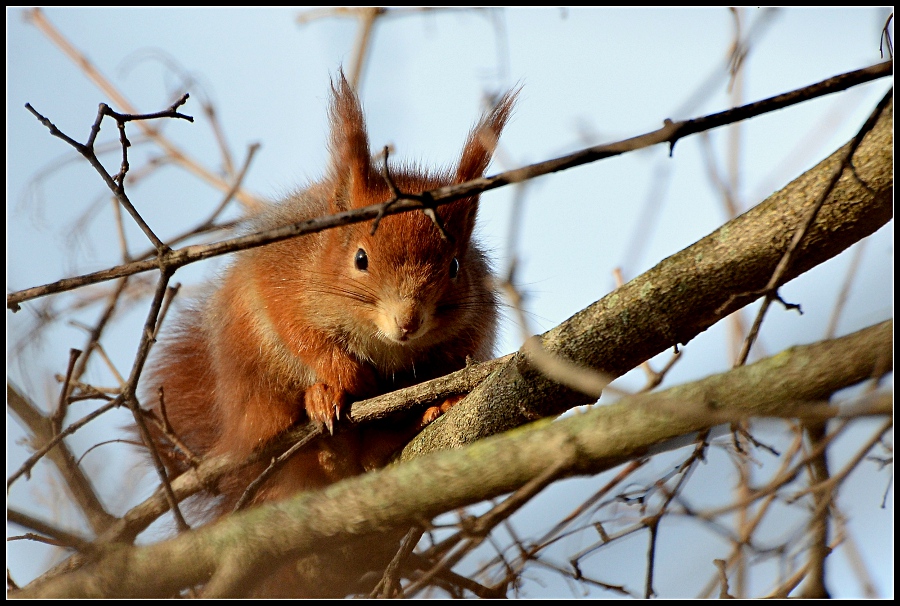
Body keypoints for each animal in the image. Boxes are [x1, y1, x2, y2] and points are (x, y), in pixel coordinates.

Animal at [141, 73, 512, 516]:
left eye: (455, 266)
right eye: (360, 258)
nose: (407, 321)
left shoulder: (475, 320)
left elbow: (460, 360)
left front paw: (446, 399)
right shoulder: (281, 276)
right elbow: (298, 331)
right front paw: (342, 373)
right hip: (254, 379)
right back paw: (323, 418)